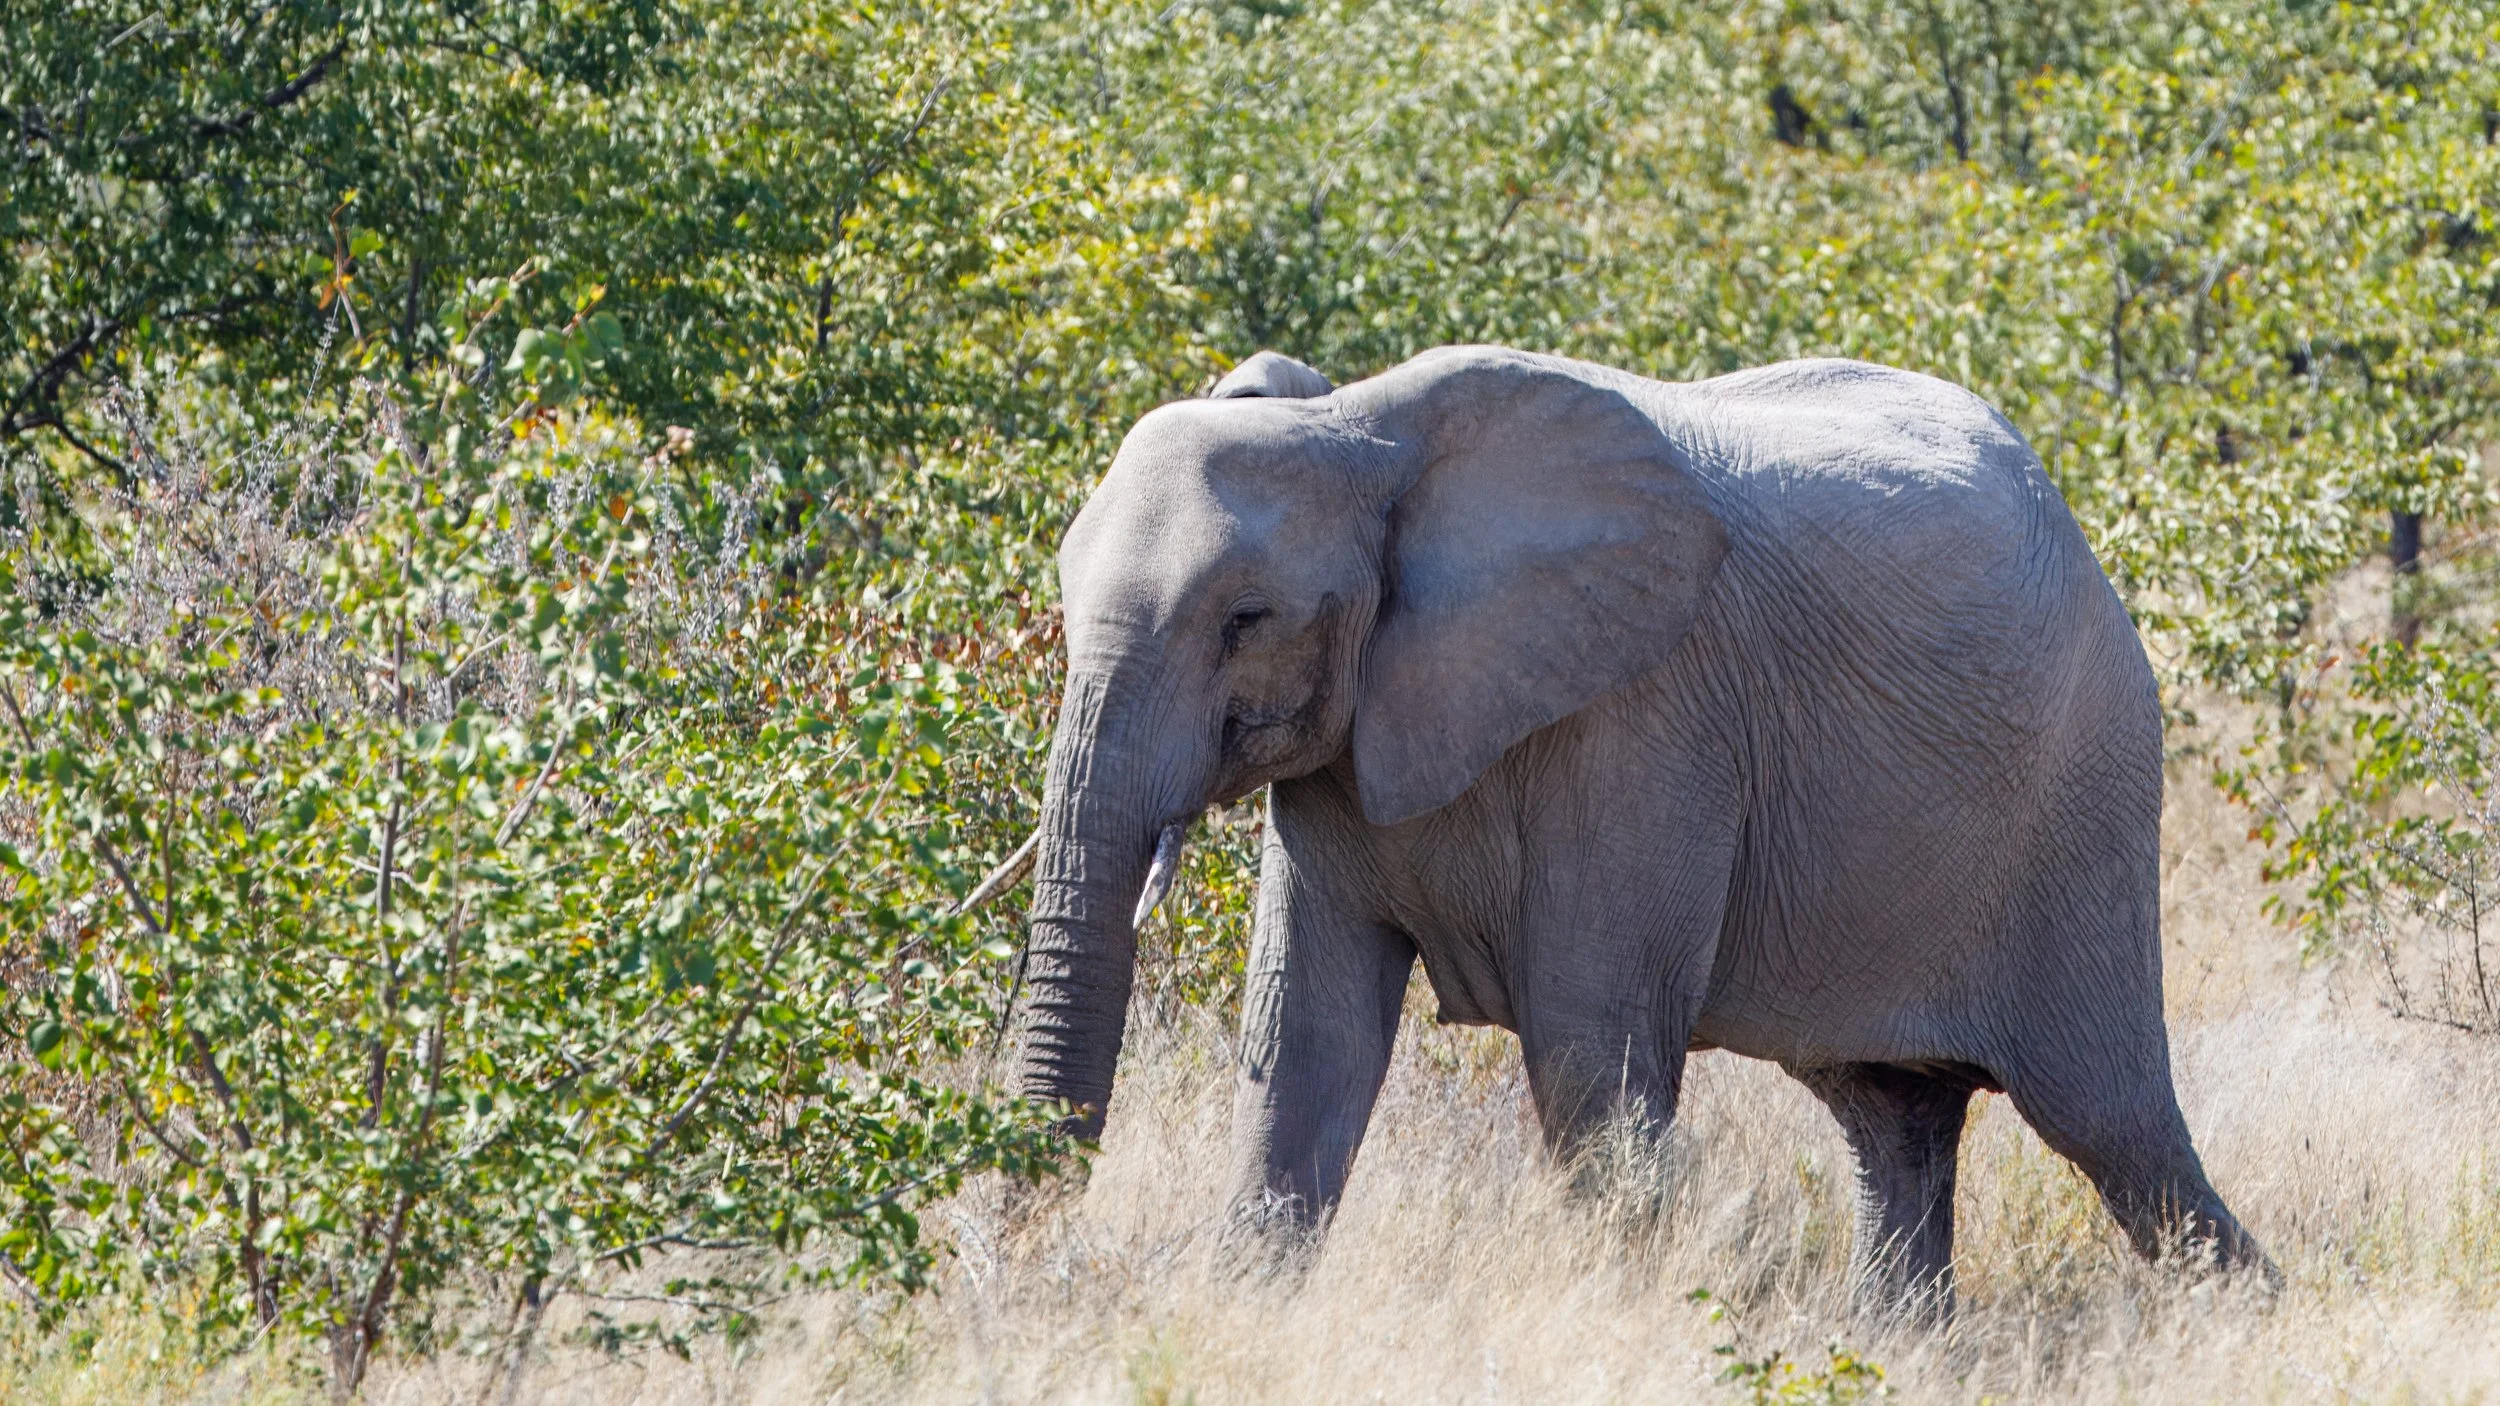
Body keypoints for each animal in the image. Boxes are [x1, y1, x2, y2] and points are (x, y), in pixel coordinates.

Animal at [977, 343, 2268, 1315]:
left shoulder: (1649, 717)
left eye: (1246, 617)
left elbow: (1589, 1046)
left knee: (2112, 1124)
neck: (1357, 429)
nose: (1022, 1268)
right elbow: (1306, 1037)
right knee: (1892, 1118)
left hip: (2085, 797)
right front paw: (1244, 1306)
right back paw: (1898, 1344)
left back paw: (2244, 1318)